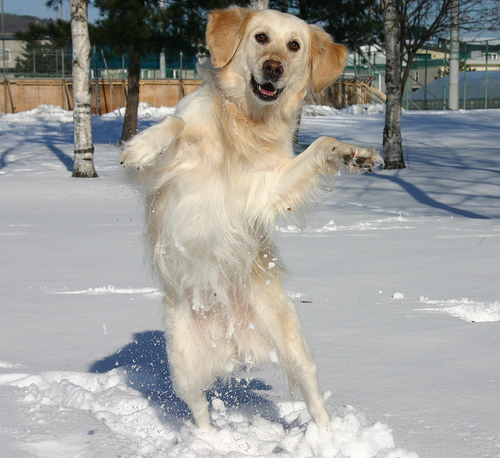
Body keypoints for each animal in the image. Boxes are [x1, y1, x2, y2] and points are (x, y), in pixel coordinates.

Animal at [120, 6, 378, 430]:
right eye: (260, 37)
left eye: (294, 45)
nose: (274, 68)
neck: (244, 121)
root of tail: (231, 332)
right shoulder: (159, 175)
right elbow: (176, 123)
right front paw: (141, 145)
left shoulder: (269, 187)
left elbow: (322, 143)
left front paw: (351, 153)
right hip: (183, 364)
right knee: (200, 411)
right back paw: (208, 440)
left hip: (293, 342)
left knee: (312, 392)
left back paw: (328, 437)